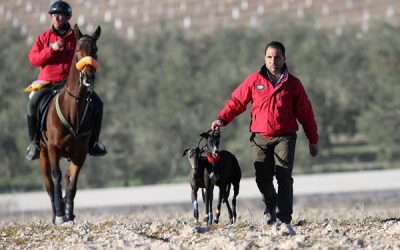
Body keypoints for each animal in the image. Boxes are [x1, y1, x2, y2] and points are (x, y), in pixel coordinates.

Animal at [38, 24, 101, 225]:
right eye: (78, 50)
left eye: (95, 50)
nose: (88, 76)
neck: (73, 109)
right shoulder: (52, 149)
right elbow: (56, 178)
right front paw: (59, 215)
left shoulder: (80, 154)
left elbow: (72, 182)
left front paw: (68, 213)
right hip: (42, 153)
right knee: (49, 183)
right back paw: (55, 213)